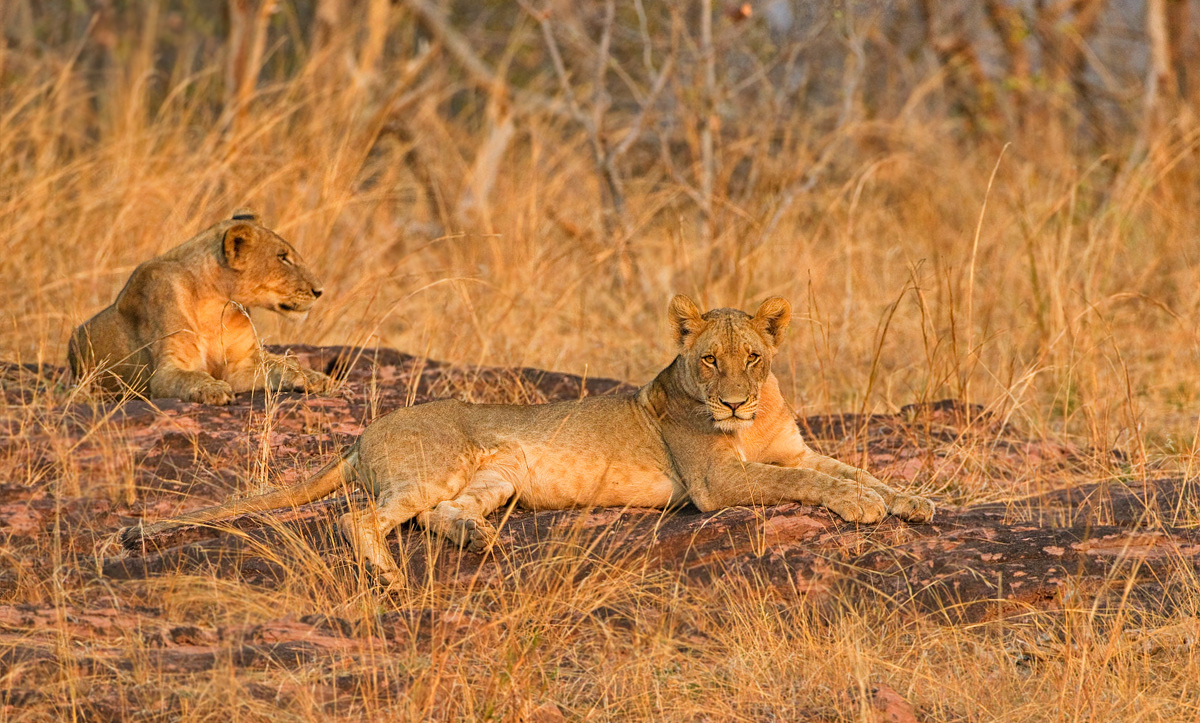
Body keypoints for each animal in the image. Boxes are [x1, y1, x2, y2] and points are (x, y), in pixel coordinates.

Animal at [68, 210, 331, 405]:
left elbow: (282, 364)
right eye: (283, 257)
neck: (216, 306)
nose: (320, 291)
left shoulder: (242, 362)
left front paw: (313, 377)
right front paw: (213, 389)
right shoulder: (165, 372)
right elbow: (191, 376)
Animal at [124, 295, 934, 584]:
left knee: (437, 514)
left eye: (754, 358)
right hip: (434, 465)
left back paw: (479, 540)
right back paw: (389, 577)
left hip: (496, 476)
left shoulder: (793, 448)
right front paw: (865, 508)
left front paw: (913, 501)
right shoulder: (718, 484)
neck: (756, 420)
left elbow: (849, 469)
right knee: (364, 517)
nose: (734, 400)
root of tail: (363, 433)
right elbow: (810, 484)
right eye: (710, 359)